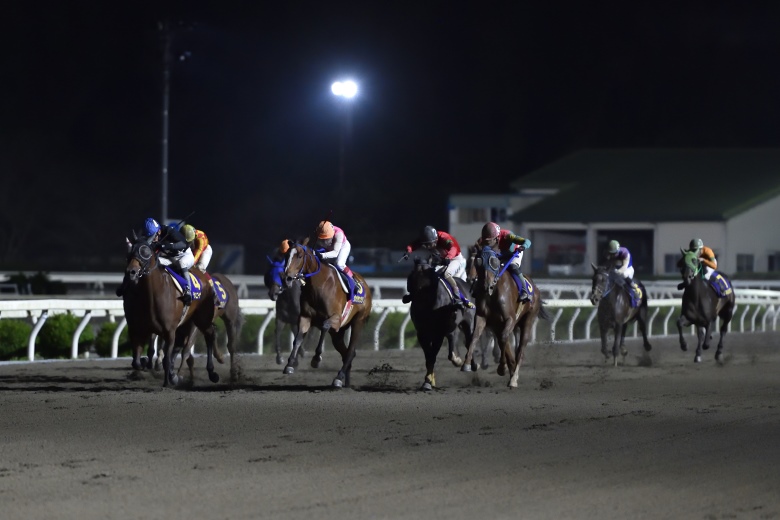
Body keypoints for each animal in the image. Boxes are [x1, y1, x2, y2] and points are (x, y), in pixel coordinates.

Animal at [121, 238, 222, 387]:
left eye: (146, 252)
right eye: (130, 252)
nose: (131, 272)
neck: (152, 295)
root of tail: (203, 275)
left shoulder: (169, 331)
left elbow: (166, 360)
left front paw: (168, 381)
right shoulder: (137, 329)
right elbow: (137, 361)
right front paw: (148, 364)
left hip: (201, 318)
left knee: (210, 334)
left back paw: (212, 372)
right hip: (188, 322)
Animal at [282, 243, 373, 388]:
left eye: (300, 256)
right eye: (286, 256)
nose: (287, 278)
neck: (319, 286)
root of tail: (365, 285)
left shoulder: (336, 318)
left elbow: (324, 327)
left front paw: (316, 359)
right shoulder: (305, 317)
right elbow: (298, 338)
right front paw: (289, 364)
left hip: (358, 321)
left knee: (350, 352)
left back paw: (338, 378)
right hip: (337, 333)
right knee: (347, 353)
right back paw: (345, 382)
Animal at [405, 255, 475, 390]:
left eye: (431, 275)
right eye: (411, 275)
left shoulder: (439, 333)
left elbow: (434, 355)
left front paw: (428, 381)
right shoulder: (422, 333)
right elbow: (429, 357)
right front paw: (428, 381)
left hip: (467, 323)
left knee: (470, 341)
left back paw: (469, 364)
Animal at [463, 245, 548, 388]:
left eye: (494, 262)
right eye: (477, 262)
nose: (486, 285)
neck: (492, 292)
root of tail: (535, 288)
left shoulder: (510, 319)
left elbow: (504, 340)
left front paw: (502, 368)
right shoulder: (483, 317)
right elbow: (475, 336)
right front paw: (467, 364)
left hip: (528, 319)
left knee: (520, 350)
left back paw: (513, 378)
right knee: (506, 343)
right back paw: (512, 371)